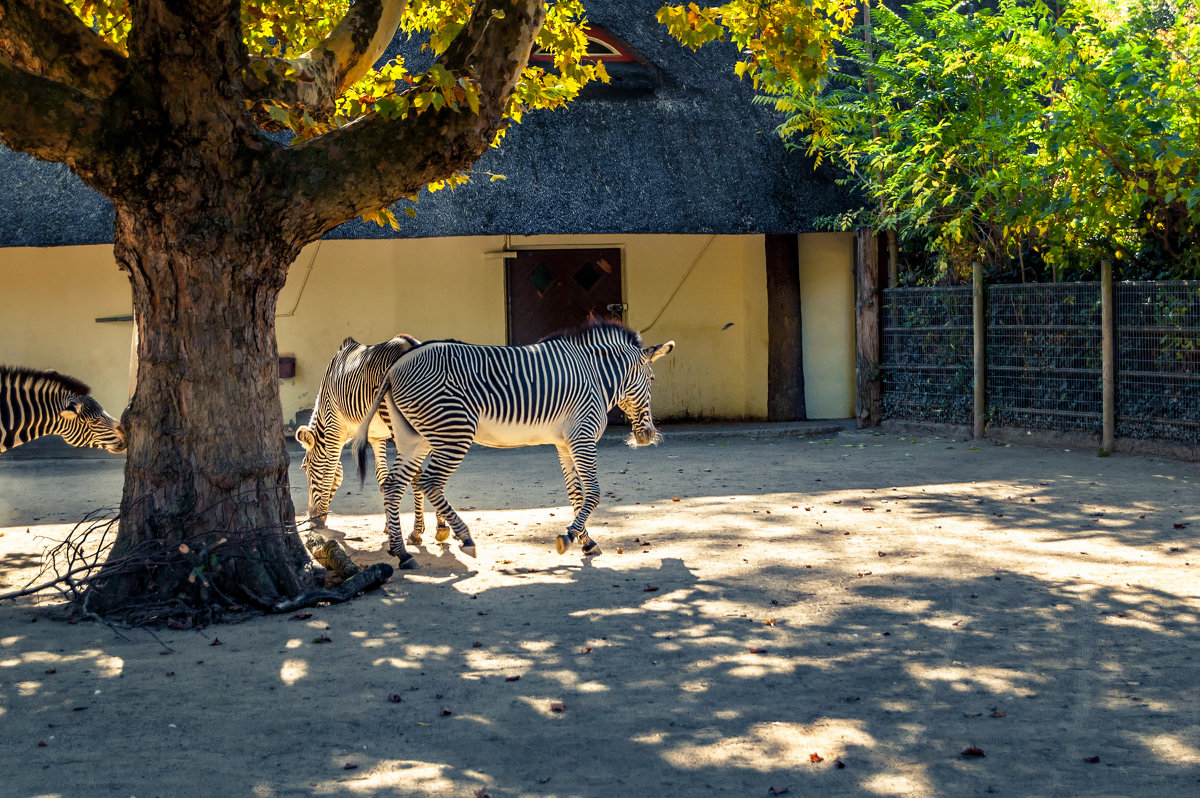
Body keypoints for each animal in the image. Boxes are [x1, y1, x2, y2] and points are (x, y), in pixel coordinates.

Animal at [296, 328, 451, 542]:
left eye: (305, 467)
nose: (309, 518)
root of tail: (410, 345)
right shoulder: (376, 437)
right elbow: (382, 476)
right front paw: (388, 526)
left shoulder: (333, 428)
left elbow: (329, 471)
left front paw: (319, 519)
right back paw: (441, 526)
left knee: (416, 473)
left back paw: (416, 531)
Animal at [352, 314, 676, 568]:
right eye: (652, 379)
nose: (647, 436)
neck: (595, 375)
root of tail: (395, 367)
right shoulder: (583, 436)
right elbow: (594, 493)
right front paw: (569, 536)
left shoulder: (566, 442)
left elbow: (576, 493)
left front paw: (585, 540)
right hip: (454, 431)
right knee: (429, 482)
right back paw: (464, 537)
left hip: (415, 438)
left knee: (394, 485)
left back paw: (402, 552)